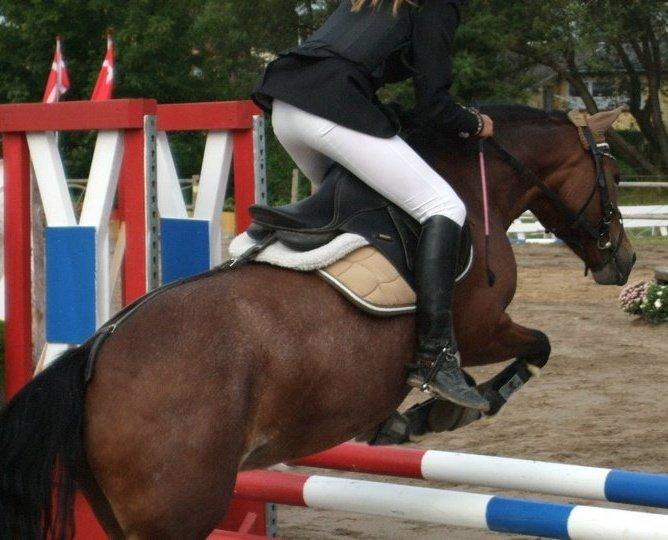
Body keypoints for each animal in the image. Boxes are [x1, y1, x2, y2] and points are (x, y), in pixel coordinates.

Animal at [0, 105, 636, 538]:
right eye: (613, 175)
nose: (625, 259)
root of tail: (94, 359)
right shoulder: (482, 329)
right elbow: (537, 347)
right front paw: (445, 409)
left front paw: (403, 422)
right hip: (179, 511)